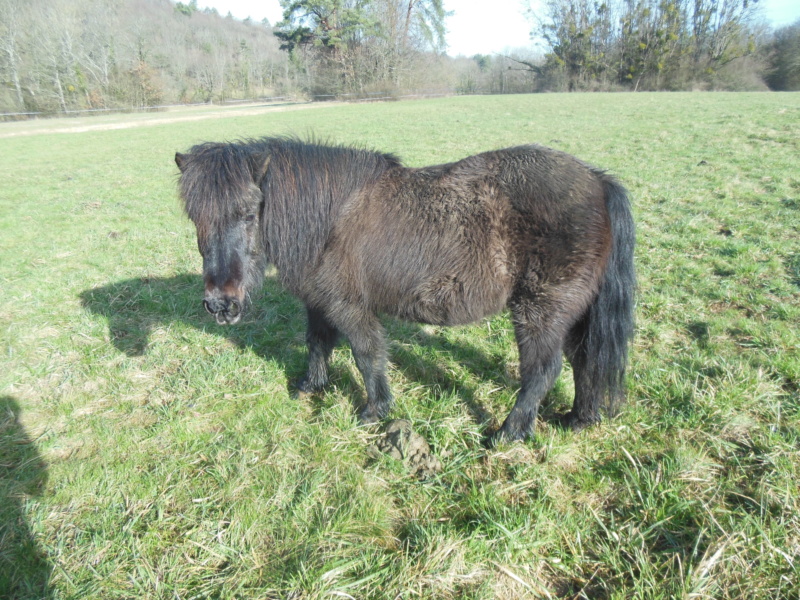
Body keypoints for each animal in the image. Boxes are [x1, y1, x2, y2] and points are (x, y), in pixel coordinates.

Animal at [177, 139, 636, 440]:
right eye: (194, 216)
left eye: (248, 211)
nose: (221, 305)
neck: (327, 220)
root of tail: (598, 181)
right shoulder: (320, 303)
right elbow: (317, 342)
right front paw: (311, 387)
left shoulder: (349, 306)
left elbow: (367, 356)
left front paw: (374, 411)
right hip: (574, 313)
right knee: (584, 360)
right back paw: (579, 418)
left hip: (541, 311)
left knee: (544, 369)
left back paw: (509, 432)